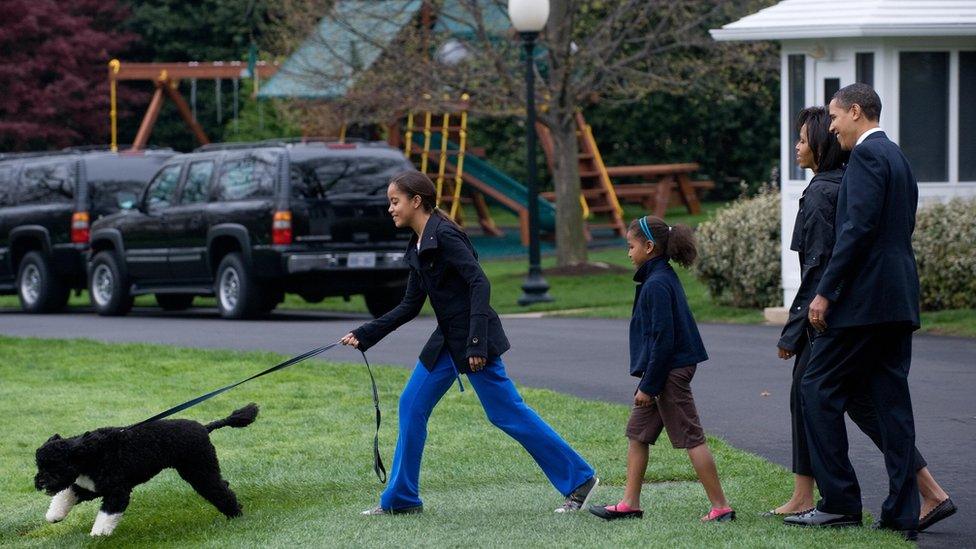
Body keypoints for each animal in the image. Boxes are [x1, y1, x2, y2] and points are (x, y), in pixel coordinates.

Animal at [33, 402, 258, 536]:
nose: (40, 482)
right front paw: (54, 515)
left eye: (55, 465)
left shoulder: (117, 491)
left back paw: (235, 514)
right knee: (223, 485)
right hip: (200, 468)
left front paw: (98, 535)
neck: (89, 453)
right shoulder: (89, 487)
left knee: (220, 491)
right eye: (39, 465)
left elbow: (106, 514)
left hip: (199, 470)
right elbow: (66, 495)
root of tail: (204, 427)